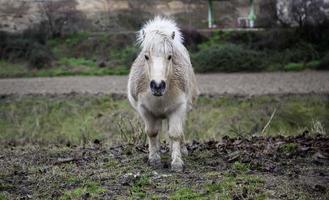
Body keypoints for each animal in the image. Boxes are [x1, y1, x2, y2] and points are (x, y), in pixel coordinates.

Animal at [126, 16, 197, 171]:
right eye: (146, 56)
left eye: (169, 56)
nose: (157, 85)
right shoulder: (145, 110)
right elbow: (152, 132)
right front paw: (154, 158)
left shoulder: (178, 109)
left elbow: (175, 134)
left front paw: (177, 162)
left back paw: (181, 150)